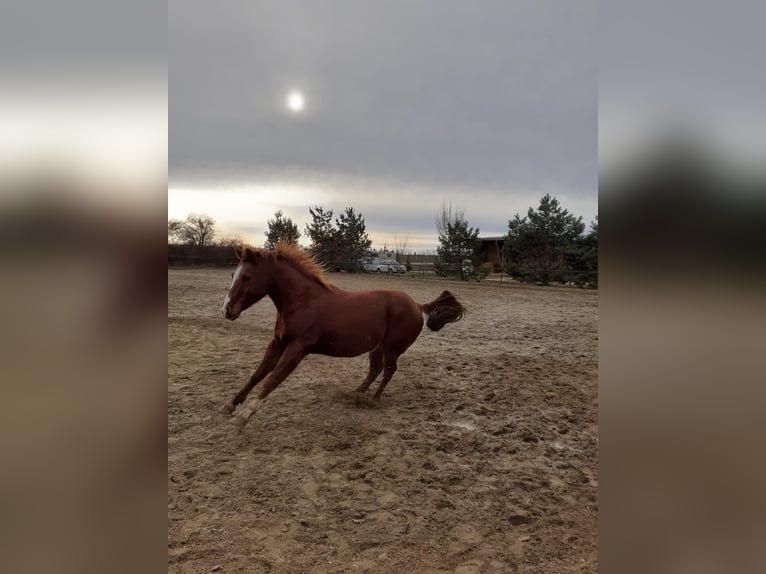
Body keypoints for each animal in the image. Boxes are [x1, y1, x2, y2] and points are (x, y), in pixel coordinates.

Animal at [219, 242, 464, 428]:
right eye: (232, 274)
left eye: (247, 276)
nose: (226, 311)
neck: (303, 302)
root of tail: (416, 305)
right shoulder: (277, 344)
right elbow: (257, 375)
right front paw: (231, 404)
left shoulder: (297, 349)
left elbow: (273, 379)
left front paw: (245, 414)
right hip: (376, 346)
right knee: (375, 369)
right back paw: (355, 393)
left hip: (392, 348)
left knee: (389, 369)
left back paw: (373, 399)